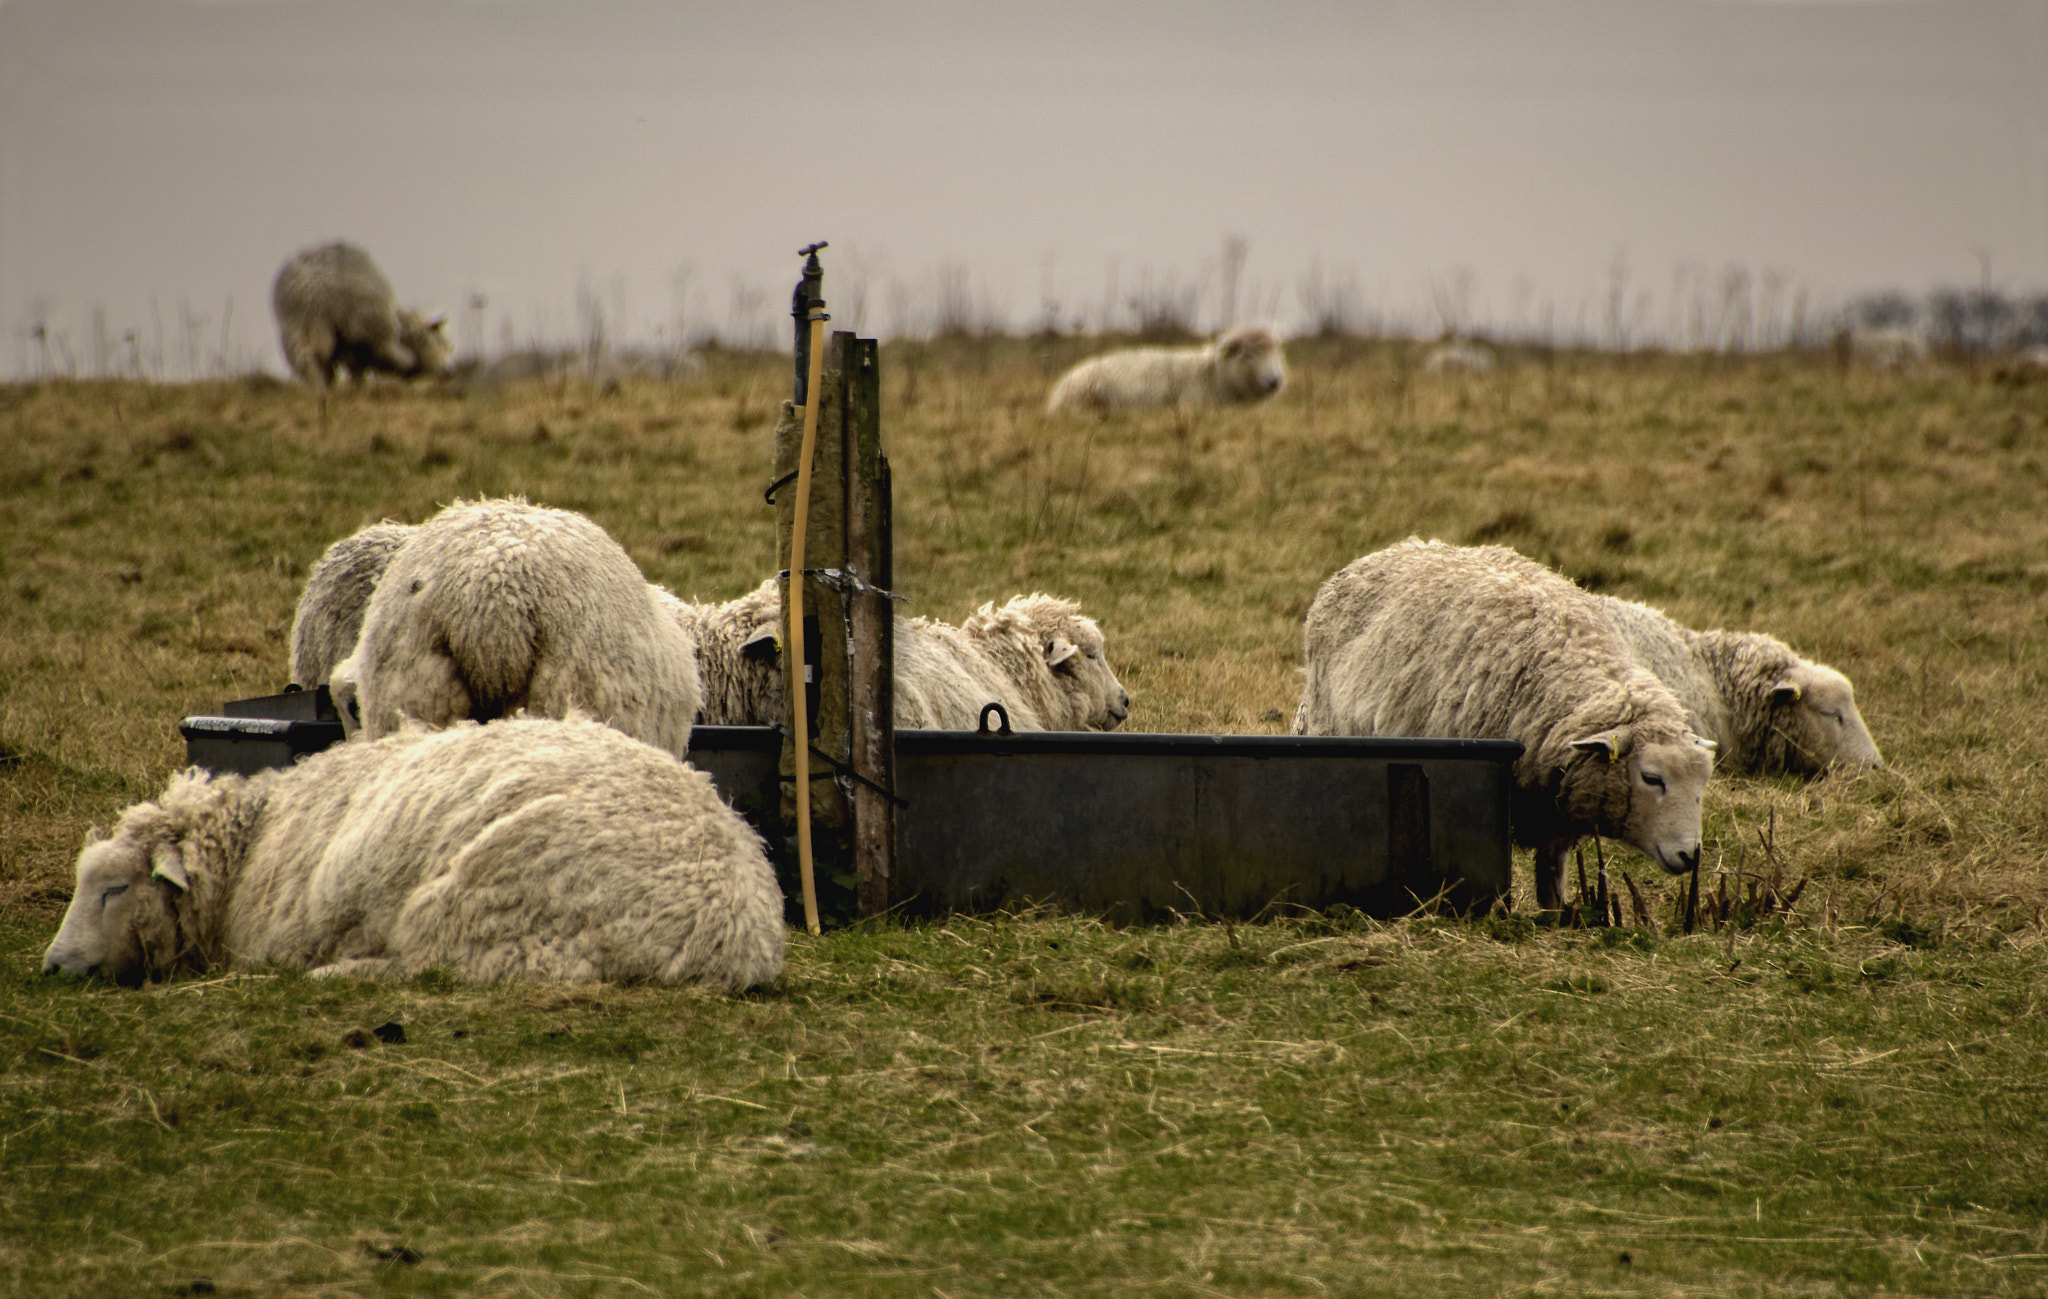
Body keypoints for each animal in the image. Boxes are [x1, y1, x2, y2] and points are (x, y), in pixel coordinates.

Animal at [41, 715, 785, 989]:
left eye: (113, 888)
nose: (50, 965)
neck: (257, 839)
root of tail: (737, 937)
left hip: (475, 910)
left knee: (422, 967)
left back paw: (335, 974)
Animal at [271, 241, 451, 408]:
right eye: (442, 343)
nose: (445, 371)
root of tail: (314, 288)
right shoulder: (361, 339)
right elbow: (362, 369)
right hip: (356, 327)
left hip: (299, 327)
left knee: (306, 359)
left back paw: (318, 396)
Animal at [1293, 539, 1714, 911]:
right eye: (1651, 778)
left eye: (1702, 785)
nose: (1690, 855)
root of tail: (1395, 548)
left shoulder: (1555, 810)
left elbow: (1551, 874)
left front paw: (1556, 916)